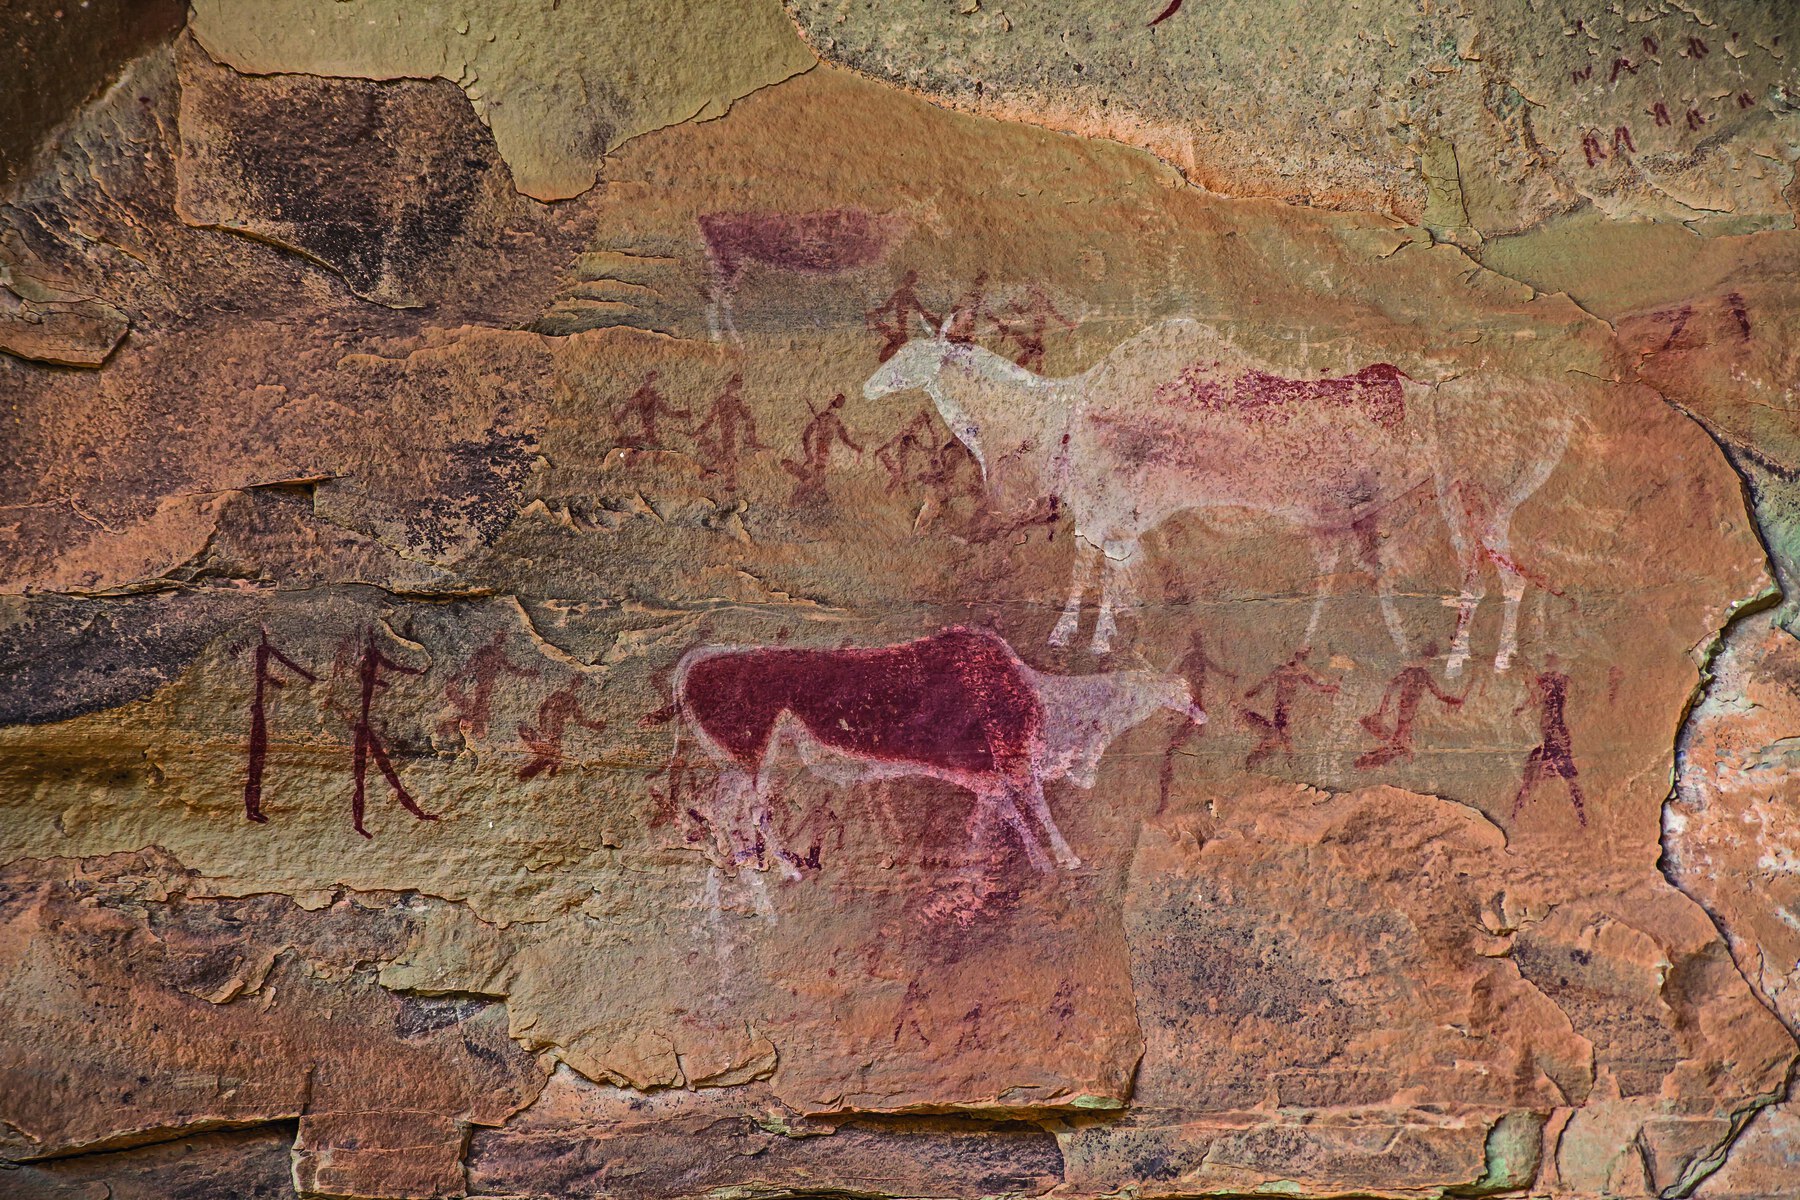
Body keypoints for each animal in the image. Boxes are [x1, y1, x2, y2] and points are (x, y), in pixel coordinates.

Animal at [658, 629, 1195, 874]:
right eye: (1179, 689)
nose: (1199, 713)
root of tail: (695, 661)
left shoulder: (988, 778)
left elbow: (998, 821)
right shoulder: (1012, 764)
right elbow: (1035, 812)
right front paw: (1062, 862)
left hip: (747, 760)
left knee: (731, 807)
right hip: (748, 756)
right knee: (740, 807)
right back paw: (776, 866)